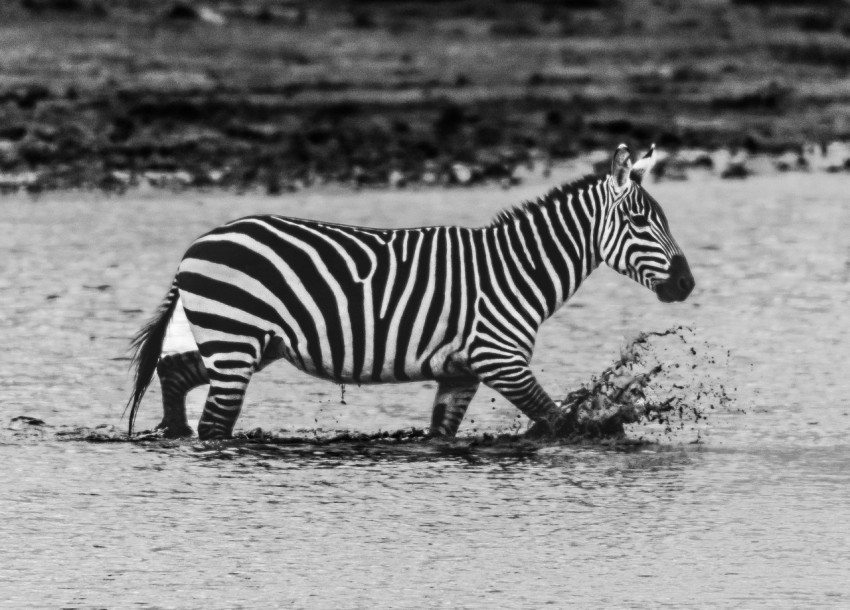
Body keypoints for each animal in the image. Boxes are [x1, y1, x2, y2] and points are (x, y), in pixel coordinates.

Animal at [127, 144, 696, 436]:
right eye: (641, 222)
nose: (687, 283)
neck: (519, 268)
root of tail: (200, 243)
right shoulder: (500, 360)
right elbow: (557, 420)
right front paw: (598, 431)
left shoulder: (461, 372)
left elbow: (441, 435)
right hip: (237, 337)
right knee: (215, 422)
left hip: (249, 343)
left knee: (175, 373)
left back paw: (172, 434)